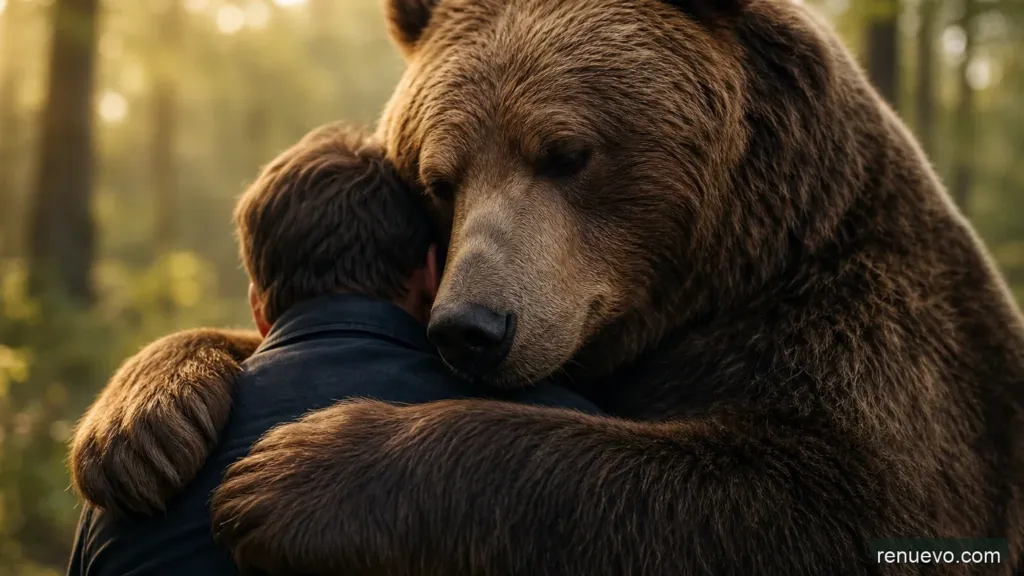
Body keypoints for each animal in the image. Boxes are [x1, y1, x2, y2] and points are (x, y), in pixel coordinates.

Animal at [69, 0, 1024, 574]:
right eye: (438, 178)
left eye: (567, 152)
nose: (470, 327)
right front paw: (139, 429)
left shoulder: (873, 354)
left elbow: (785, 495)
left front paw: (288, 471)